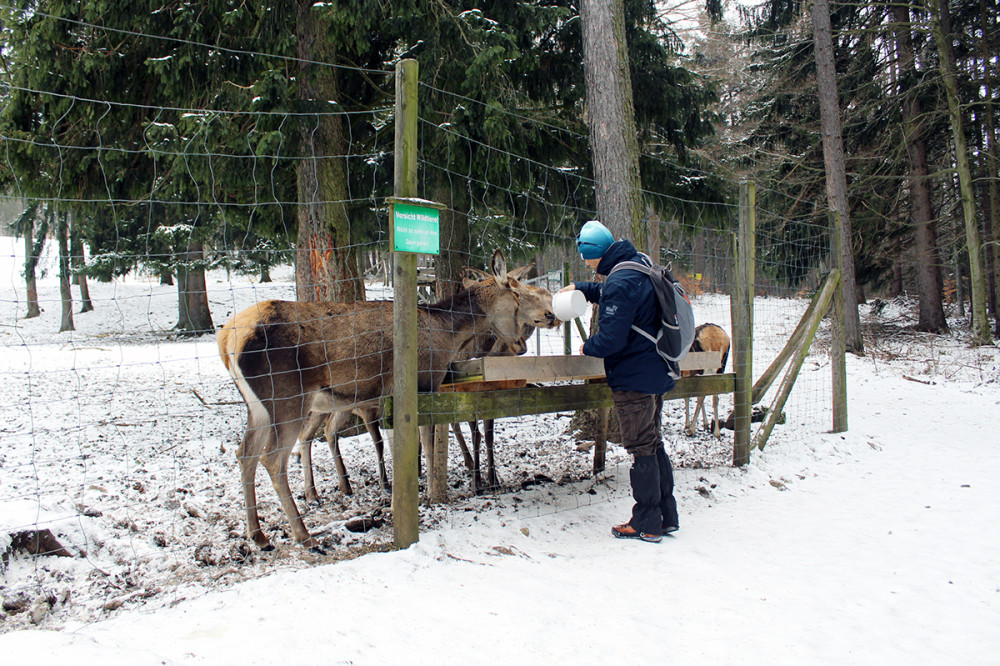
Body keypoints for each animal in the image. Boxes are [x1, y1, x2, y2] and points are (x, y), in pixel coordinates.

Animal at [216, 246, 556, 548]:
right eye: (518, 297)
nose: (520, 344)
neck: (448, 334)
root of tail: (226, 339)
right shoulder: (422, 384)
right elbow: (424, 442)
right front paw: (429, 493)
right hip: (287, 397)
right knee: (272, 458)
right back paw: (303, 534)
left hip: (260, 406)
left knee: (245, 453)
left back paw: (258, 535)